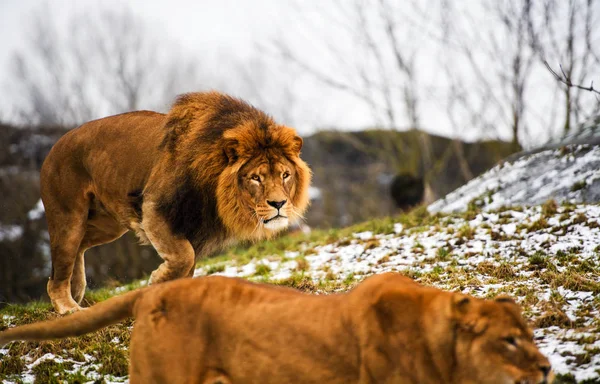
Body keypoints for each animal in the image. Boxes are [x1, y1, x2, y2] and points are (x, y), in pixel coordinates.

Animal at [39, 91, 312, 314]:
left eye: (285, 175)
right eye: (256, 178)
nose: (279, 204)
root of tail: (54, 147)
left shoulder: (195, 228)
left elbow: (187, 268)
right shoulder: (154, 210)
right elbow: (184, 258)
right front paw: (156, 282)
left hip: (108, 225)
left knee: (80, 247)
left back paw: (77, 290)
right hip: (69, 218)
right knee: (60, 268)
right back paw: (68, 307)